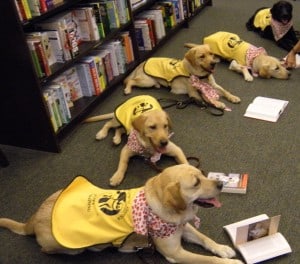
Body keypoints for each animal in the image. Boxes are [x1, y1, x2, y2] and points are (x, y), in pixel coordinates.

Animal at [0, 164, 244, 262]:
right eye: (195, 183)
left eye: (202, 174)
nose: (221, 184)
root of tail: (33, 218)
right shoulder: (175, 252)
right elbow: (209, 261)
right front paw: (228, 263)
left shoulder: (182, 228)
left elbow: (205, 239)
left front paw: (222, 248)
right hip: (67, 246)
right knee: (48, 250)